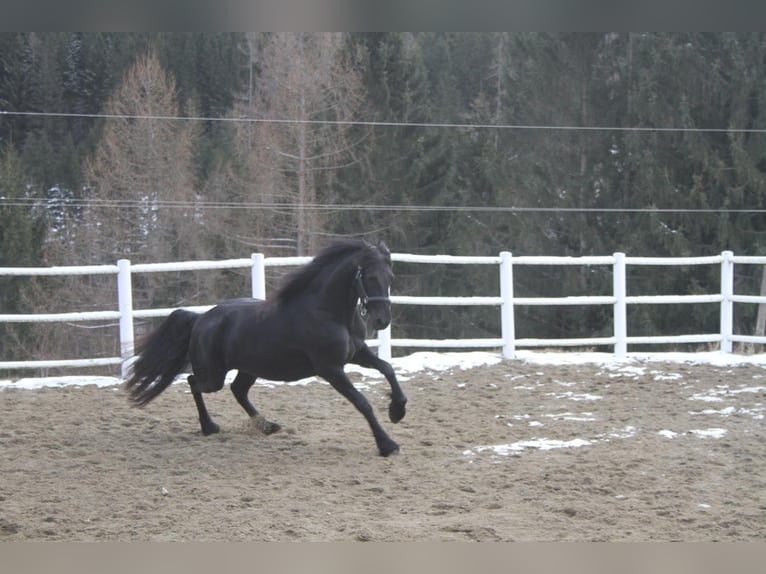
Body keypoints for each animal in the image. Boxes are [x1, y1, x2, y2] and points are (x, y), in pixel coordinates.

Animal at [124, 240, 408, 460]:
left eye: (390, 277)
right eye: (370, 276)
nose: (382, 321)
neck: (328, 312)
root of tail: (201, 318)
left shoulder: (357, 354)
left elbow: (388, 369)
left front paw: (397, 411)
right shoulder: (330, 368)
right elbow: (362, 403)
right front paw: (388, 445)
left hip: (250, 368)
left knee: (238, 391)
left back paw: (267, 426)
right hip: (213, 375)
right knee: (195, 383)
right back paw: (210, 427)